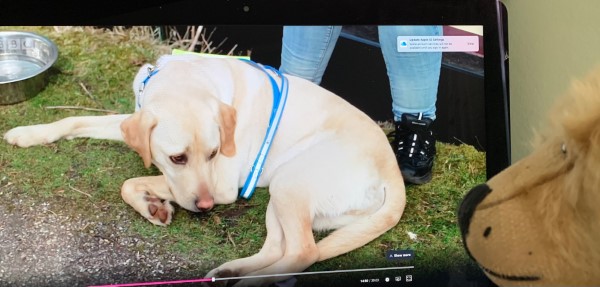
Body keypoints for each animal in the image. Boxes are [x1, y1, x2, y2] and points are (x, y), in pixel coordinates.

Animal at [2, 55, 406, 286]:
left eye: (213, 153)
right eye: (178, 157)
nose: (206, 207)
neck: (188, 78)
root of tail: (394, 176)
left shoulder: (224, 184)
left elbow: (131, 182)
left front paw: (152, 203)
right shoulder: (134, 122)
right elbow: (74, 120)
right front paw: (28, 133)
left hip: (289, 184)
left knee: (305, 252)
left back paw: (248, 282)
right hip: (281, 195)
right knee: (280, 247)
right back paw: (232, 271)